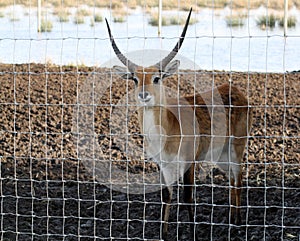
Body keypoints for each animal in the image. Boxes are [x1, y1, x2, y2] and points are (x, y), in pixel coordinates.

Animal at [104, 8, 252, 240]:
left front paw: (192, 233)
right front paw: (163, 234)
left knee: (238, 179)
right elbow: (167, 195)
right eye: (135, 79)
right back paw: (230, 220)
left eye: (156, 78)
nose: (143, 95)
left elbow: (188, 197)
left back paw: (236, 223)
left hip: (236, 148)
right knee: (231, 180)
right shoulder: (163, 164)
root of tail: (234, 89)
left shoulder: (189, 162)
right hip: (220, 155)